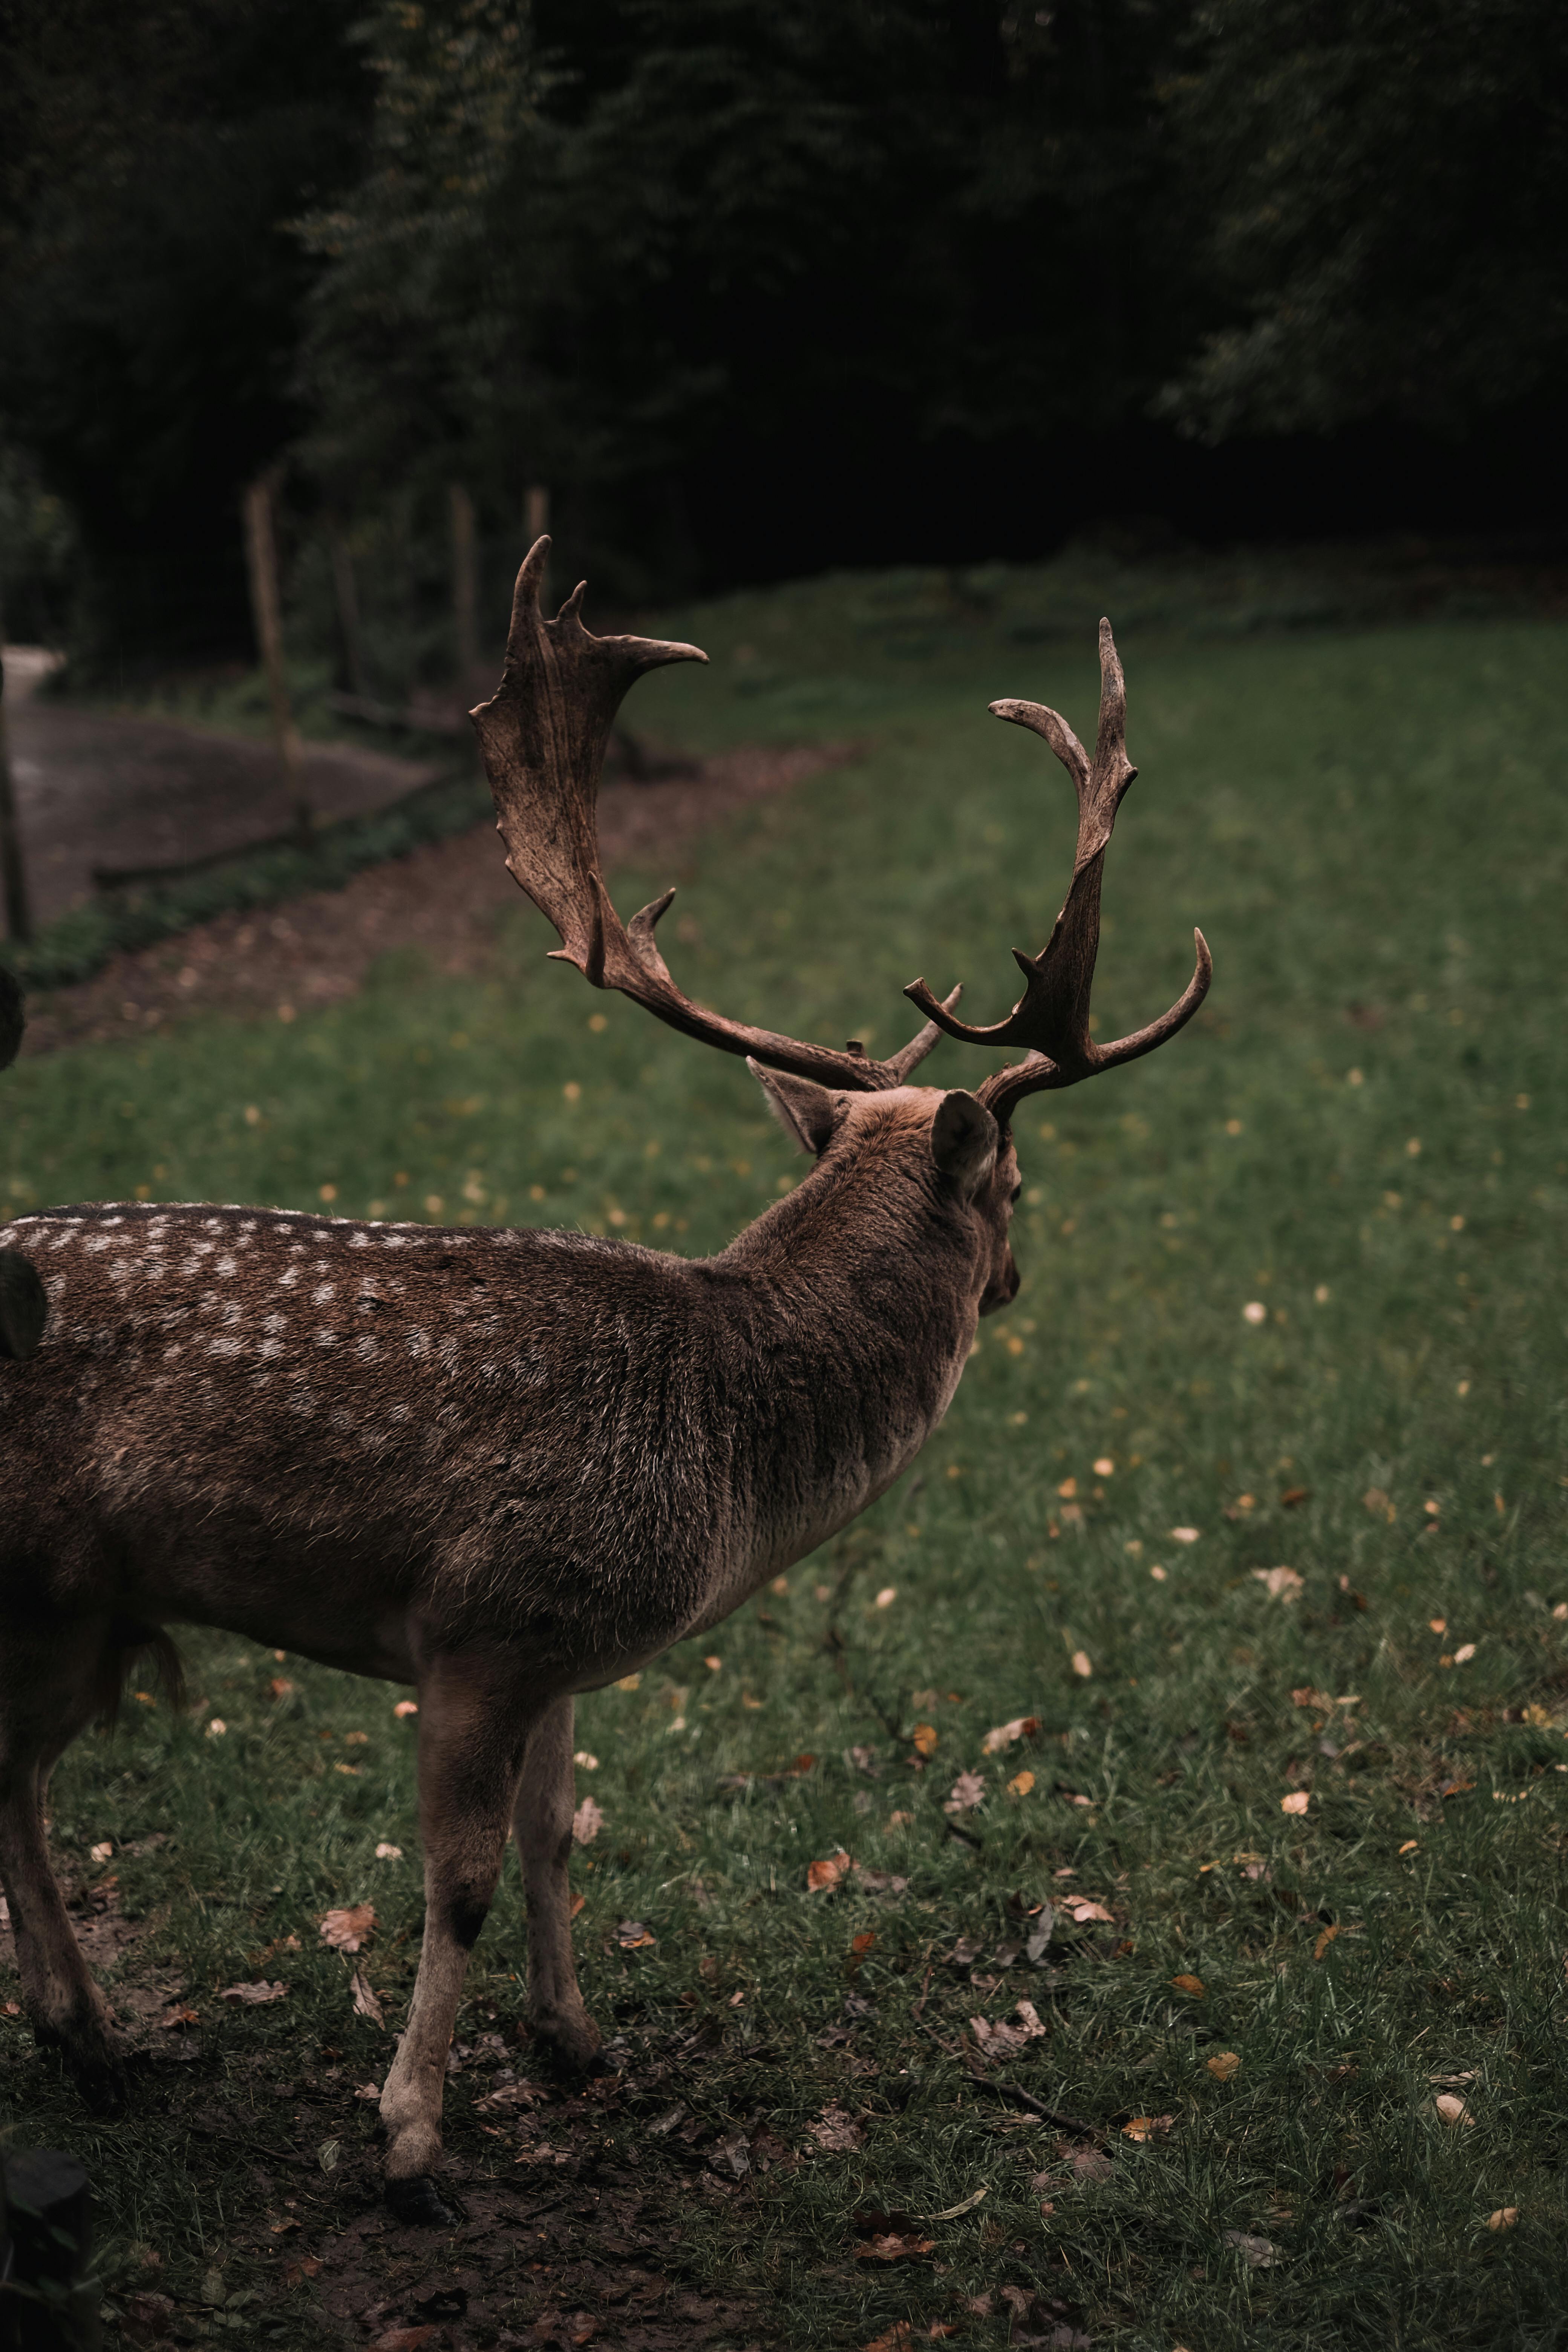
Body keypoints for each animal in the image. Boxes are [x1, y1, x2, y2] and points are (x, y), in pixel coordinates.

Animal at [0, 541, 1213, 2230]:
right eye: (1018, 1185)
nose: (1020, 1278)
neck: (718, 1463)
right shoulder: (475, 1624)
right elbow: (454, 1882)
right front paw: (414, 2144)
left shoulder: (559, 1652)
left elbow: (556, 1836)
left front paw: (574, 2045)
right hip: (48, 1589)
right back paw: (96, 2039)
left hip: (85, 1610)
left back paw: (91, 2042)